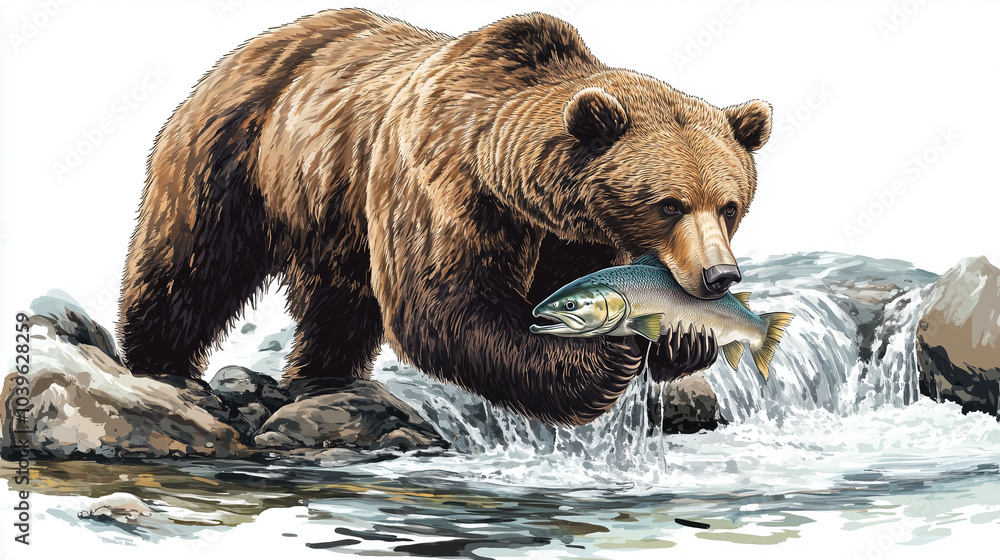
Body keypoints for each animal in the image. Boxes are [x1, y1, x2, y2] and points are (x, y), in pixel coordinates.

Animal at [117, 8, 771, 426]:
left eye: (730, 205)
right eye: (669, 205)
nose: (720, 276)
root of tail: (252, 47)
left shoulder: (570, 231)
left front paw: (682, 340)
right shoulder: (442, 183)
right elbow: (443, 304)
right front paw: (603, 360)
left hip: (336, 214)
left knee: (338, 306)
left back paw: (321, 376)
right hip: (233, 157)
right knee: (189, 267)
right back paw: (160, 363)